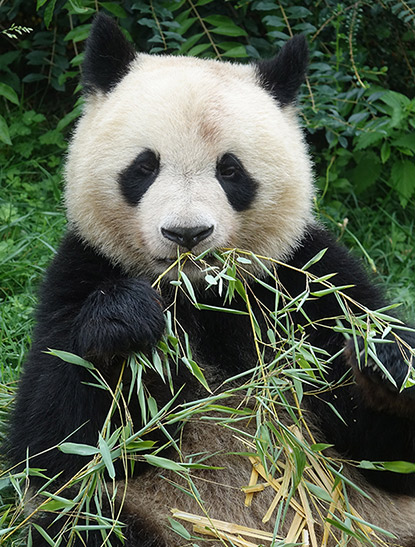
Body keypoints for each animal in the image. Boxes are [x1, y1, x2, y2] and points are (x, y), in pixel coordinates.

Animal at [5, 12, 415, 547]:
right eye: (145, 166)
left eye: (231, 170)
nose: (187, 233)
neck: (202, 293)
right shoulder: (80, 271)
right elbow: (55, 445)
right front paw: (124, 323)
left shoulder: (306, 278)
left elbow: (387, 452)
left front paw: (386, 357)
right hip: (144, 515)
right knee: (84, 519)